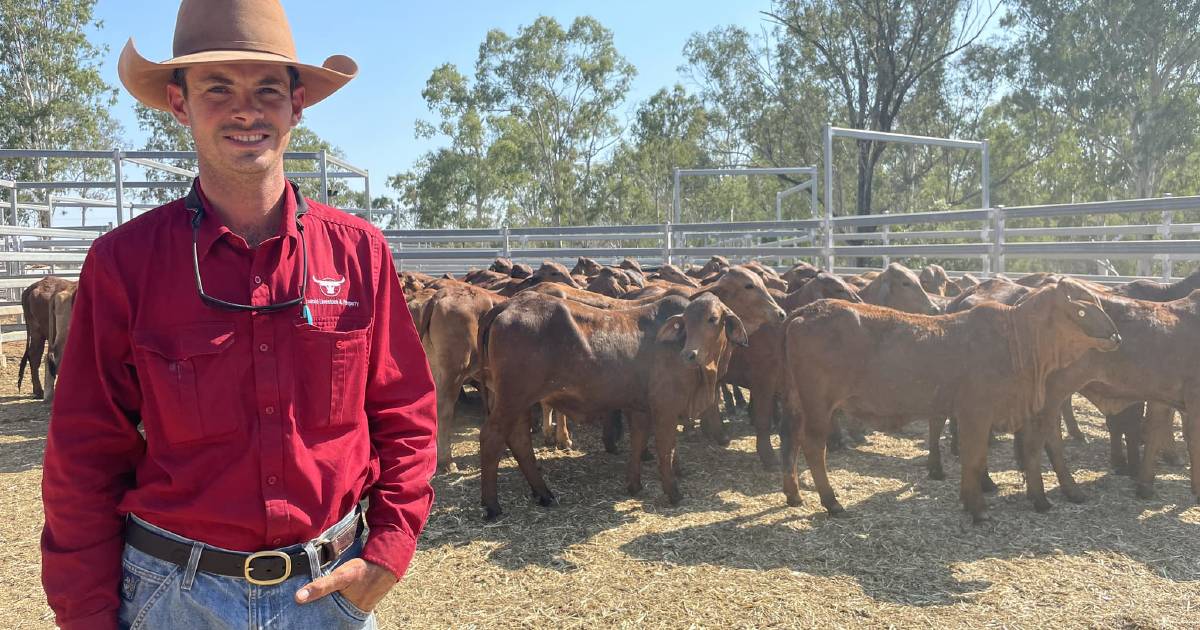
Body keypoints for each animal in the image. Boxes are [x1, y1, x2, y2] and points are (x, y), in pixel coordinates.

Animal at [475, 292, 739, 518]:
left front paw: (635, 484)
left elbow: (639, 442)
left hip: (520, 402)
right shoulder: (666, 406)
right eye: (686, 322)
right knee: (491, 437)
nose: (690, 354)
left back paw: (543, 493)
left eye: (713, 319)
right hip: (512, 399)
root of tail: (510, 303)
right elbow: (666, 448)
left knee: (519, 440)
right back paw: (492, 506)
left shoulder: (639, 408)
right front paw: (673, 491)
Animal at [782, 277, 1118, 518]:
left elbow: (979, 456)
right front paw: (978, 508)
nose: (1116, 336)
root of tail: (806, 311)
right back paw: (831, 502)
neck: (1017, 341)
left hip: (799, 402)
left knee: (792, 439)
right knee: (813, 445)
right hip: (819, 403)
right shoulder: (976, 412)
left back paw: (793, 493)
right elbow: (974, 458)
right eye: (1082, 309)